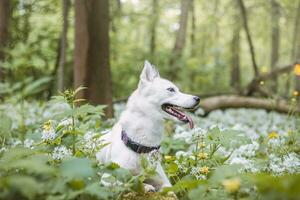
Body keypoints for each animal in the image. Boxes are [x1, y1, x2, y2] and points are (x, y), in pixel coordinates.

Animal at [96, 60, 199, 191]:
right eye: (171, 89)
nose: (198, 98)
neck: (140, 147)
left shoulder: (164, 180)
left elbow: (167, 188)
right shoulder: (107, 178)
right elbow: (129, 182)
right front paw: (146, 186)